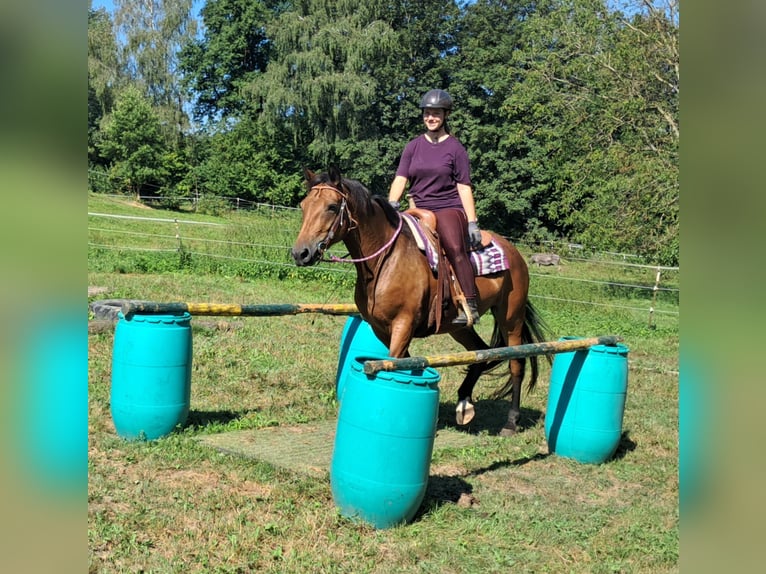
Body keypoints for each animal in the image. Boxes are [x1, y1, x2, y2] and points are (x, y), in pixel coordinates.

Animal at [291, 166, 551, 435]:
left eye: (332, 207)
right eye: (304, 205)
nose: (301, 253)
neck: (386, 259)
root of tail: (514, 252)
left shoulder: (403, 324)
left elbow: (394, 361)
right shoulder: (381, 328)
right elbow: (406, 363)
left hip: (511, 317)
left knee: (517, 361)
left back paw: (511, 422)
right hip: (458, 327)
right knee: (481, 351)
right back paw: (464, 403)